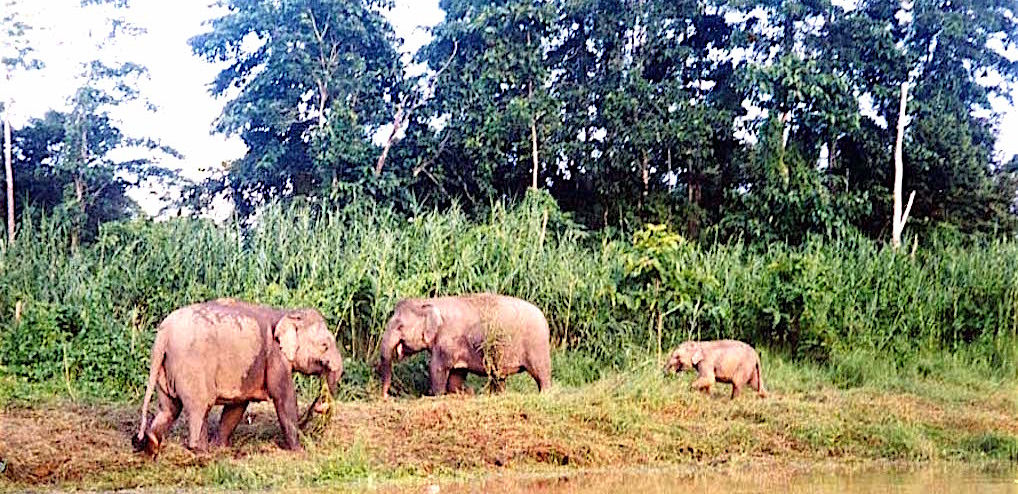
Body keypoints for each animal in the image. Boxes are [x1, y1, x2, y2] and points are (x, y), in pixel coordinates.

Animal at [133, 298, 343, 456]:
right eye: (324, 345)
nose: (319, 407)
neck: (285, 313)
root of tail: (163, 334)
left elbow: (237, 406)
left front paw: (221, 447)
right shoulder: (276, 356)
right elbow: (283, 396)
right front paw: (299, 451)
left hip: (164, 369)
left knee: (169, 409)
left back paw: (152, 444)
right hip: (192, 367)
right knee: (199, 407)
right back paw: (199, 451)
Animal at [377, 293, 552, 397]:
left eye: (400, 326)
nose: (386, 397)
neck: (431, 301)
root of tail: (544, 317)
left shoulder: (448, 341)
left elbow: (436, 369)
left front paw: (437, 395)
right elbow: (457, 374)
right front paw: (456, 394)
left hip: (537, 346)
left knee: (541, 373)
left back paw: (544, 395)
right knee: (499, 377)